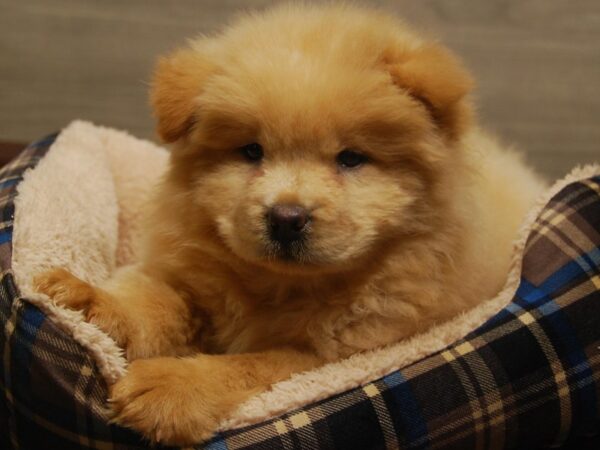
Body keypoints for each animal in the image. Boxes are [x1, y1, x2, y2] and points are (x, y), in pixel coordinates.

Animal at [35, 2, 548, 446]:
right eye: (251, 151)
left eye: (351, 159)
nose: (285, 217)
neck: (280, 287)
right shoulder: (191, 285)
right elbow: (153, 304)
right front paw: (84, 300)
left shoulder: (334, 355)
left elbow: (250, 365)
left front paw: (170, 386)